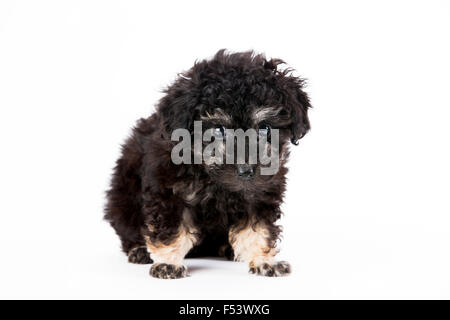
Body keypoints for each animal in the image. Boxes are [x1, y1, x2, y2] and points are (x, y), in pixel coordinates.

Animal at [104, 49, 312, 278]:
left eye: (265, 128)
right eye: (219, 129)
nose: (246, 170)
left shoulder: (260, 191)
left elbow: (259, 228)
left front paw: (264, 260)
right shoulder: (168, 190)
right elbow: (171, 229)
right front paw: (168, 262)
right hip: (122, 200)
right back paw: (139, 249)